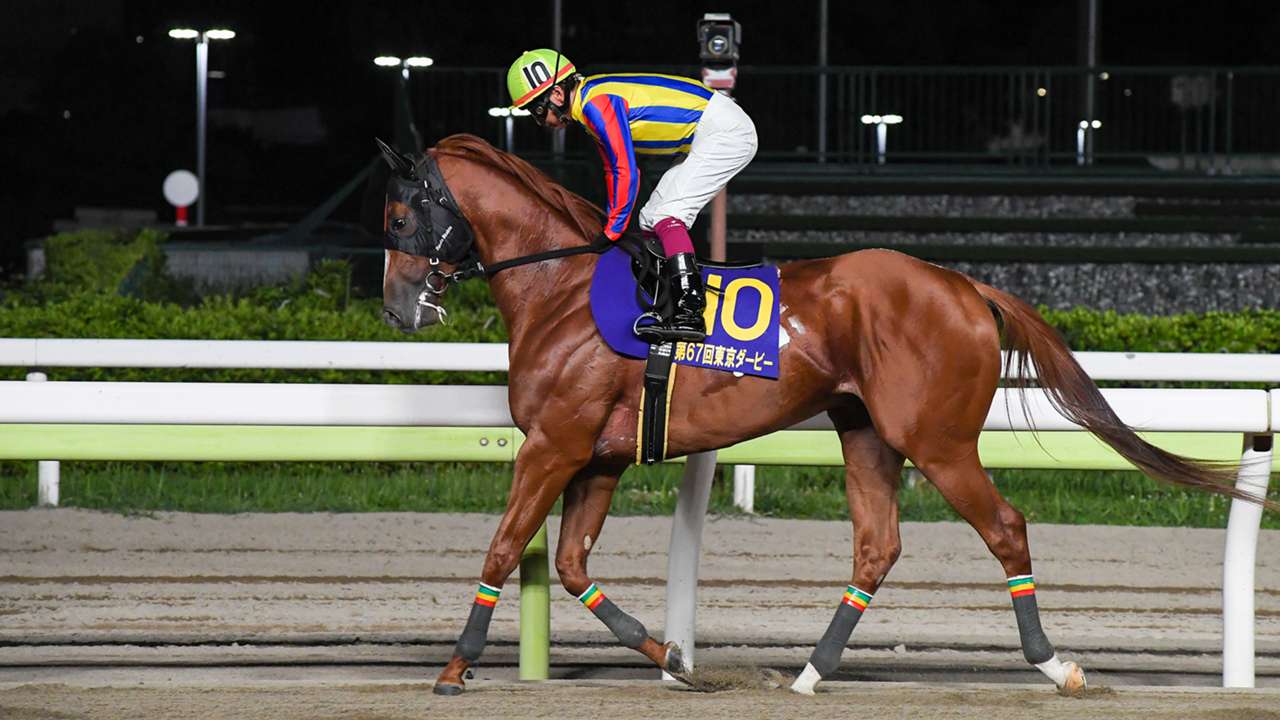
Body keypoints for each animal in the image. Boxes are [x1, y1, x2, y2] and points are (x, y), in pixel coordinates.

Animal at [379, 133, 1258, 696]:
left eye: (397, 218)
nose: (397, 308)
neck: (559, 289)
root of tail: (966, 286)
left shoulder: (553, 444)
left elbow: (503, 549)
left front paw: (455, 667)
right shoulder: (597, 455)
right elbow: (569, 566)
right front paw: (677, 660)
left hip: (936, 439)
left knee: (1005, 527)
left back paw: (1054, 665)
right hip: (865, 432)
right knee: (878, 547)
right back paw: (808, 671)